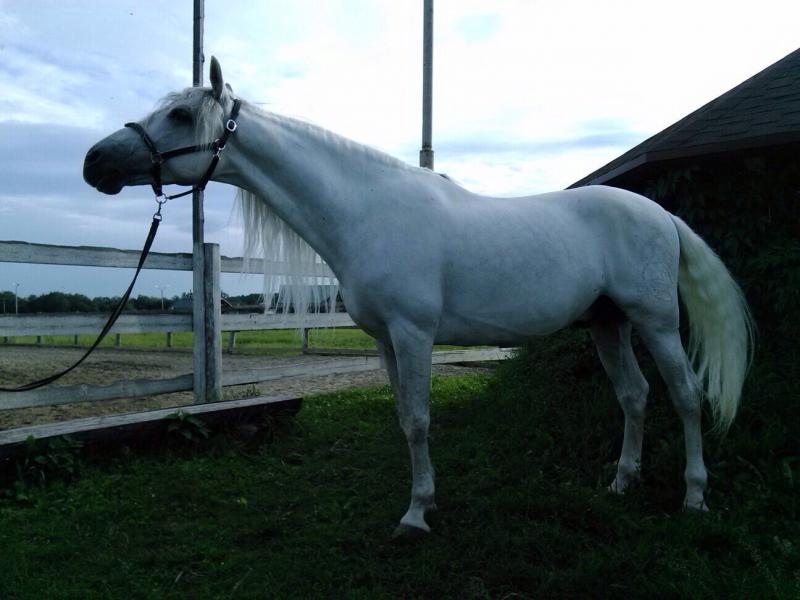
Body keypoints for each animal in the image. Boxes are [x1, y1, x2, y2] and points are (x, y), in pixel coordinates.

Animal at [83, 57, 754, 537]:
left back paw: (694, 496)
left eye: (178, 115)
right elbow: (405, 418)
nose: (94, 163)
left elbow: (421, 420)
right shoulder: (385, 339)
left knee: (686, 396)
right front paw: (420, 504)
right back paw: (621, 484)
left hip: (655, 322)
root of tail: (662, 216)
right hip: (608, 324)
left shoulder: (413, 334)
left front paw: (415, 515)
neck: (367, 211)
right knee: (635, 397)